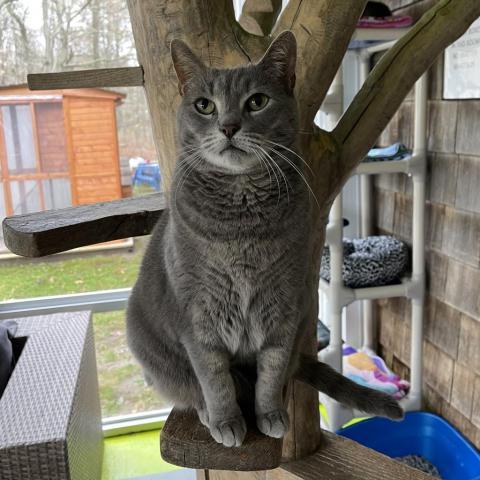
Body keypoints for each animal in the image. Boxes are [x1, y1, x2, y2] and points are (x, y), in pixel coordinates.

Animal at [126, 31, 402, 448]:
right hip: (152, 351)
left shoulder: (284, 308)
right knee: (191, 388)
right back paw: (207, 412)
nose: (228, 126)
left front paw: (270, 414)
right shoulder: (198, 318)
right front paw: (226, 420)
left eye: (257, 101)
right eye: (204, 105)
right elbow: (214, 378)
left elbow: (271, 371)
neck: (242, 227)